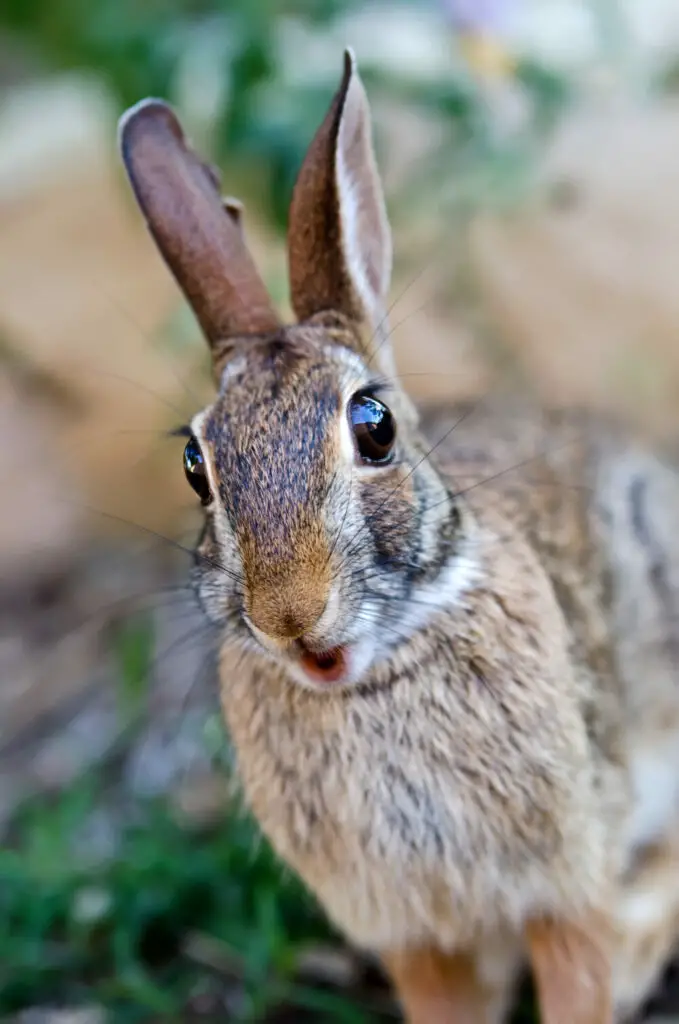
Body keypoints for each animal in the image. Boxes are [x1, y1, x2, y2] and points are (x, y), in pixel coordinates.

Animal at [119, 49, 679, 1024]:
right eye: (194, 465)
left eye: (373, 427)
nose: (291, 617)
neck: (374, 680)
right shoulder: (416, 934)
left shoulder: (564, 884)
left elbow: (578, 975)